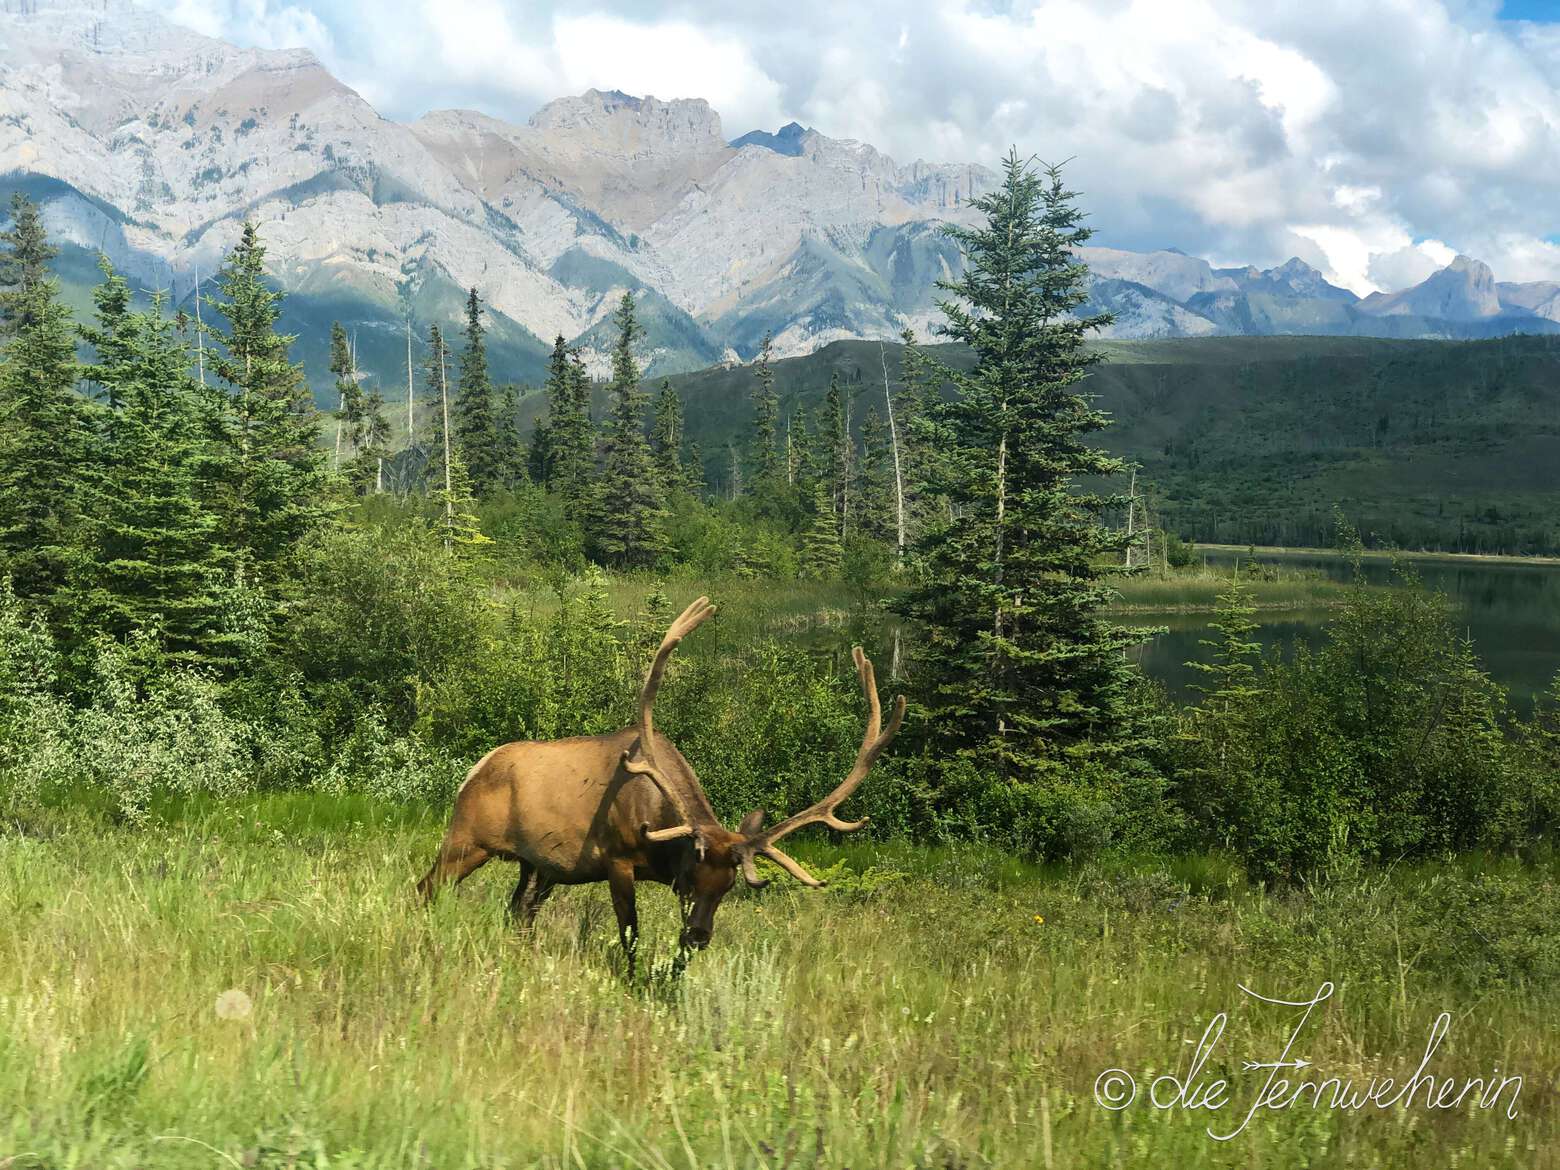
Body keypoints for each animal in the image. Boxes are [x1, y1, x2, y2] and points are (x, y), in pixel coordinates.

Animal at [418, 595, 904, 973]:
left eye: (728, 886)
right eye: (690, 874)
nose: (699, 936)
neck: (659, 831)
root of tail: (474, 770)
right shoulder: (616, 858)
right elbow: (630, 933)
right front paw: (634, 981)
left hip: (536, 863)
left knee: (517, 911)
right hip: (466, 839)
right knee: (427, 887)